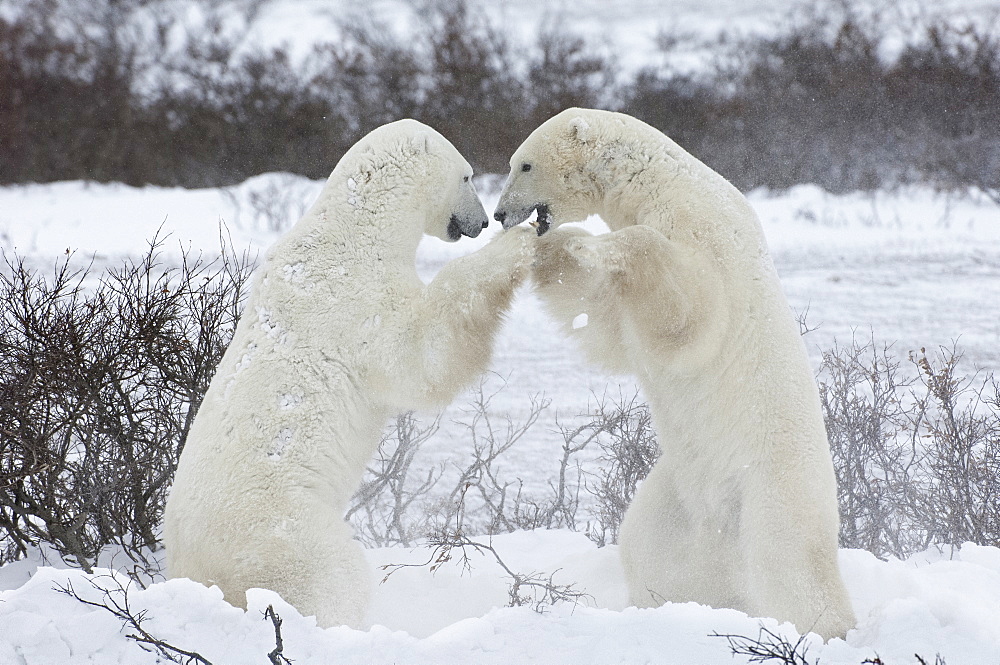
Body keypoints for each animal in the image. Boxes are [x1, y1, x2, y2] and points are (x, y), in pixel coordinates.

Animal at [164, 118, 536, 628]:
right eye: (467, 176)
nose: (481, 222)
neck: (356, 228)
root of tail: (192, 566)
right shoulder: (354, 302)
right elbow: (419, 353)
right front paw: (519, 244)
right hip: (283, 530)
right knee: (330, 579)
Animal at [496, 106, 856, 636]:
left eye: (523, 164)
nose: (500, 215)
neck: (661, 185)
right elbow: (607, 323)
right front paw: (550, 251)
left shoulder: (707, 236)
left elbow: (689, 314)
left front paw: (593, 247)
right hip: (677, 496)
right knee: (648, 545)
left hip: (772, 488)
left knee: (788, 564)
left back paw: (823, 627)